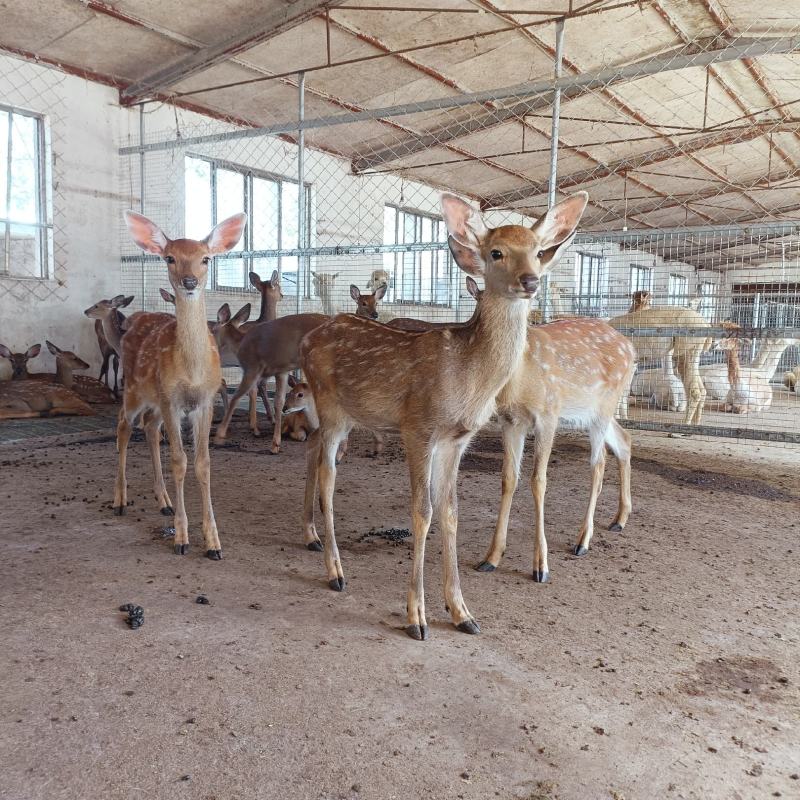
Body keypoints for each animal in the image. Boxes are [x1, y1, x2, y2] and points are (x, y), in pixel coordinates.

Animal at [116, 210, 247, 559]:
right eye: (170, 257)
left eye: (206, 258)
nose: (189, 282)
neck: (191, 371)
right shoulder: (173, 402)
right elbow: (179, 461)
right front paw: (182, 538)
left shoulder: (205, 402)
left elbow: (203, 464)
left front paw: (213, 542)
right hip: (133, 388)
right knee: (123, 426)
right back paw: (120, 500)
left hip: (154, 398)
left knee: (148, 427)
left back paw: (163, 501)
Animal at [299, 190, 588, 640]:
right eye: (496, 252)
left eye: (539, 252)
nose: (530, 281)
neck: (468, 376)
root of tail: (309, 337)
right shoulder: (417, 428)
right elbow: (422, 511)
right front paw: (416, 616)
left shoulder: (457, 439)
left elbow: (450, 511)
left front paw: (462, 612)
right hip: (329, 405)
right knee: (327, 476)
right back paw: (335, 571)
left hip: (342, 415)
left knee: (314, 454)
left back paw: (315, 542)